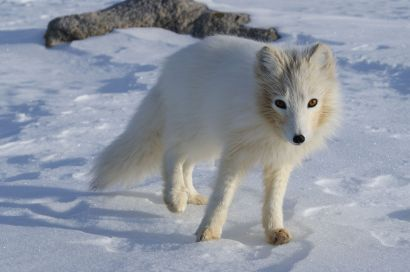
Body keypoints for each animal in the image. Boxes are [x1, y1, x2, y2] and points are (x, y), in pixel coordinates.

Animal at [91, 35, 342, 245]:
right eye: (280, 103)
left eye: (312, 102)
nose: (299, 138)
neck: (268, 128)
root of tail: (172, 63)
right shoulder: (235, 153)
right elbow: (222, 195)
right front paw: (208, 232)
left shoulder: (279, 161)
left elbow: (274, 200)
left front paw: (275, 231)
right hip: (197, 133)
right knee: (172, 155)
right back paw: (175, 198)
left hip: (207, 143)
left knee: (186, 164)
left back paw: (191, 195)